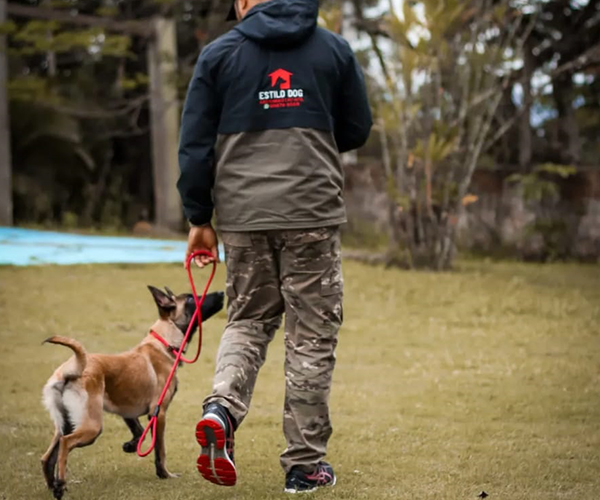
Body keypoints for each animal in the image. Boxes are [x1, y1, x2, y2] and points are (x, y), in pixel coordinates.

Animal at [39, 288, 224, 498]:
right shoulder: (159, 413)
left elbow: (139, 430)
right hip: (91, 427)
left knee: (47, 457)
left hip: (66, 423)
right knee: (65, 444)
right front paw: (164, 474)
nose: (221, 292)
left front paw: (131, 445)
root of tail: (70, 371)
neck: (164, 342)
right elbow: (160, 450)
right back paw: (60, 484)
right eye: (192, 298)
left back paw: (54, 486)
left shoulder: (126, 410)